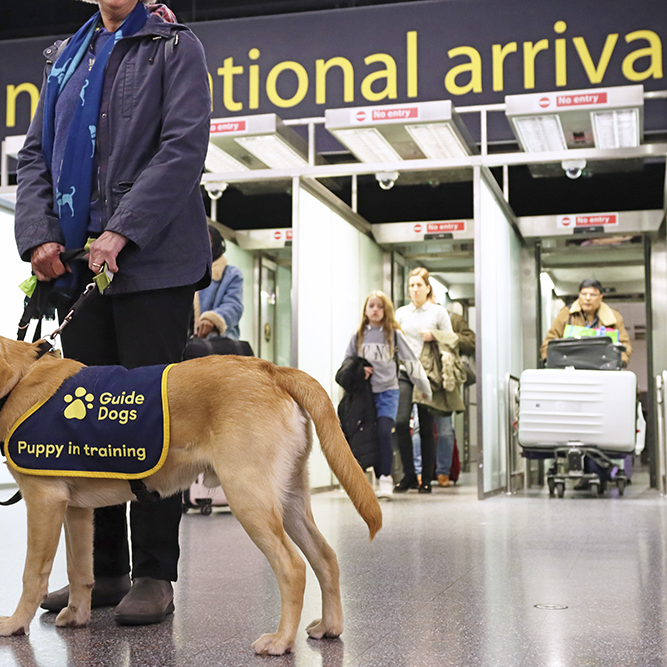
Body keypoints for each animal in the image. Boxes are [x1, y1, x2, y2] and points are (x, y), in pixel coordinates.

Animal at [0, 337, 382, 655]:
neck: (20, 377)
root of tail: (271, 369)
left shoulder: (44, 500)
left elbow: (33, 573)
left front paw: (16, 622)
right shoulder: (76, 509)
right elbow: (80, 568)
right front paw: (77, 614)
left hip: (249, 497)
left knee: (293, 566)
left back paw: (281, 641)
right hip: (289, 500)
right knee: (325, 557)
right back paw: (330, 626)